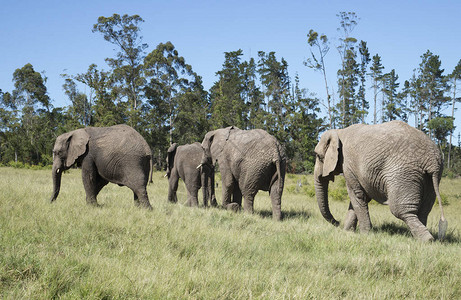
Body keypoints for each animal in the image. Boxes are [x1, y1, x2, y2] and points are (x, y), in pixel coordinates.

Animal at [312, 119, 446, 241]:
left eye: (318, 156)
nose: (337, 222)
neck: (339, 131)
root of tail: (432, 161)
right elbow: (360, 197)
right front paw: (348, 232)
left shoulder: (348, 164)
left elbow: (357, 195)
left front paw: (364, 235)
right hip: (430, 177)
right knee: (424, 210)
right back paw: (419, 239)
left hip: (404, 173)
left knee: (401, 210)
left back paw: (427, 240)